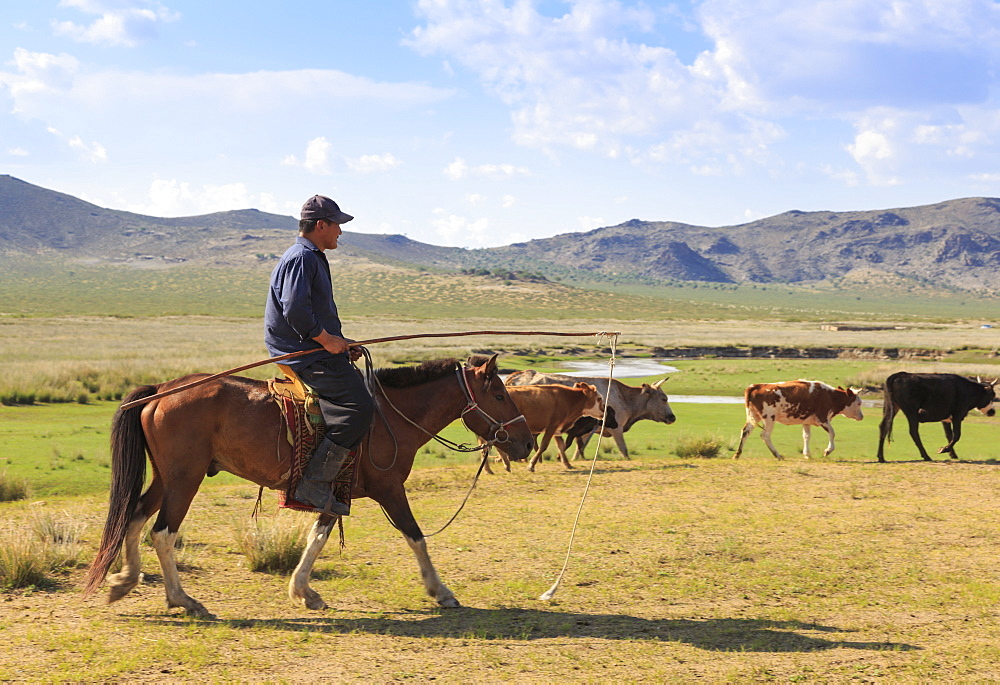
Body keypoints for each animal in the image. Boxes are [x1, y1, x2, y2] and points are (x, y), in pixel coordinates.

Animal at [80, 352, 532, 616]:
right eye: (499, 394)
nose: (526, 442)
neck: (390, 416)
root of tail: (160, 390)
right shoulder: (389, 490)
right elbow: (416, 536)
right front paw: (440, 591)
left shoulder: (334, 490)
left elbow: (318, 536)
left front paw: (303, 592)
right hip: (184, 478)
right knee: (162, 532)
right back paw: (183, 599)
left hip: (167, 477)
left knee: (135, 517)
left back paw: (124, 582)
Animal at [504, 368, 676, 460]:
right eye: (664, 399)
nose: (672, 417)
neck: (625, 398)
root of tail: (518, 374)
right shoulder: (617, 428)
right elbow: (623, 449)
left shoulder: (588, 430)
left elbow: (580, 447)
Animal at [732, 380, 864, 460]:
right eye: (859, 403)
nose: (862, 416)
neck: (830, 396)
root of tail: (755, 386)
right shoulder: (823, 418)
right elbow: (832, 433)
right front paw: (828, 450)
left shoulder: (806, 421)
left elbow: (806, 436)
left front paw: (807, 454)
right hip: (769, 418)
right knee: (765, 435)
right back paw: (777, 455)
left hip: (754, 416)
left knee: (745, 432)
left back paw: (737, 454)